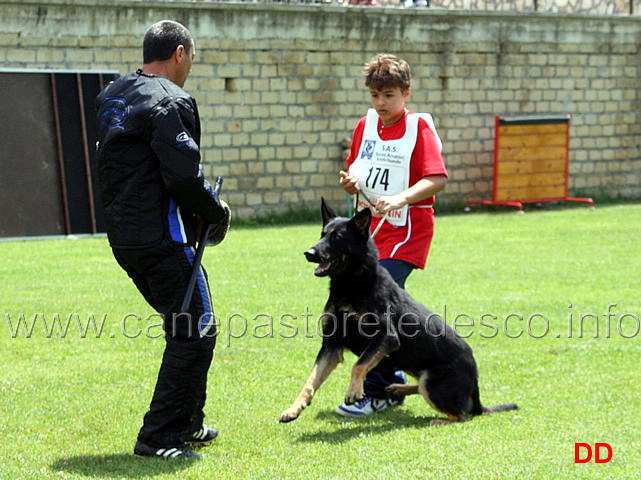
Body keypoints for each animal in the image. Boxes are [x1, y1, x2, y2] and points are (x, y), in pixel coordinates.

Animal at [278, 201, 516, 426]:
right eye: (322, 234)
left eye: (338, 237)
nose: (309, 253)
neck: (351, 282)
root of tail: (475, 377)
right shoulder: (331, 346)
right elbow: (310, 381)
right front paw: (294, 408)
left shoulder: (386, 337)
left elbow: (359, 365)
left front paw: (354, 390)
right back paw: (397, 389)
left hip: (433, 385)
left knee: (462, 415)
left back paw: (438, 419)